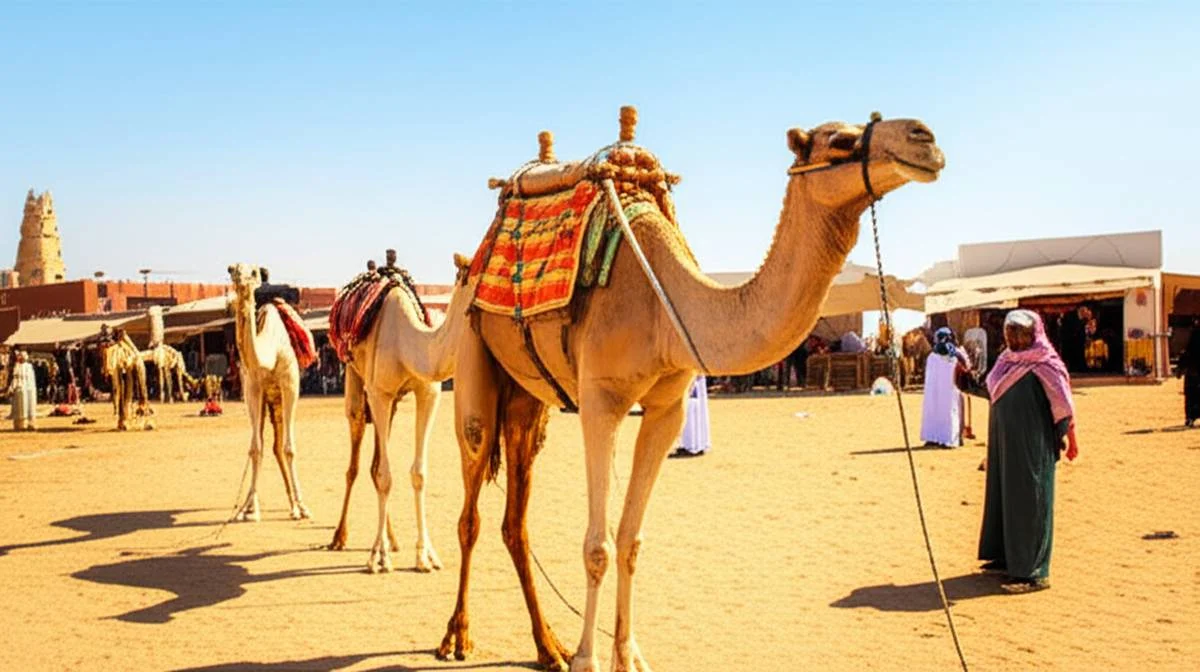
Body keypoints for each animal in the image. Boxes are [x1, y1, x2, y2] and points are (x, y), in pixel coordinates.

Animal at [227, 263, 315, 522]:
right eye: (231, 269)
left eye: (254, 272)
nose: (241, 278)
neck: (271, 350)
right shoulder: (253, 389)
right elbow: (256, 448)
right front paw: (251, 510)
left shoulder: (290, 386)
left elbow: (289, 448)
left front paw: (302, 507)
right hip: (267, 402)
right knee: (268, 445)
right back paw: (249, 505)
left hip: (279, 401)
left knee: (280, 446)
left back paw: (295, 504)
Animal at [327, 254, 475, 574]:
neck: (409, 343)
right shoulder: (378, 393)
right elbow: (384, 475)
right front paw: (378, 556)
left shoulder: (428, 393)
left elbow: (418, 473)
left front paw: (426, 556)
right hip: (356, 382)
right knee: (356, 462)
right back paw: (339, 537)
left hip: (393, 402)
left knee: (375, 463)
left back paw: (393, 539)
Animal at [436, 109, 944, 671]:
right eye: (840, 141)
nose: (925, 139)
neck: (665, 308)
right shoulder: (600, 401)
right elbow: (598, 546)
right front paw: (589, 660)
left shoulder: (666, 409)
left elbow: (631, 540)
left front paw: (628, 656)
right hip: (473, 348)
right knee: (471, 503)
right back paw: (458, 638)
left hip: (528, 400)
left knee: (515, 520)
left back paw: (548, 647)